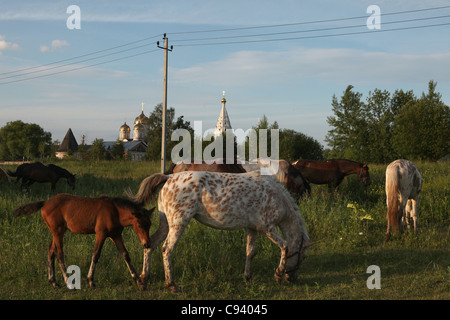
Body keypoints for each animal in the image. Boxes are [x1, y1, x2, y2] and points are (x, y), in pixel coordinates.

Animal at [13, 192, 154, 290]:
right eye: (140, 225)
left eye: (150, 224)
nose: (147, 244)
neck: (115, 212)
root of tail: (45, 202)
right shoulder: (101, 234)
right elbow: (96, 255)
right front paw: (90, 281)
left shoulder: (116, 235)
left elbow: (126, 255)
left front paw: (139, 282)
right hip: (58, 232)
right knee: (59, 253)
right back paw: (68, 282)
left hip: (57, 232)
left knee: (51, 251)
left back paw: (54, 282)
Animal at [125, 171, 312, 294]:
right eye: (302, 257)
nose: (292, 278)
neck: (277, 196)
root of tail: (168, 177)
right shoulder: (268, 228)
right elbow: (285, 247)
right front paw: (278, 274)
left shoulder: (252, 229)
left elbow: (250, 253)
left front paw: (248, 278)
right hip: (178, 224)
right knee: (167, 250)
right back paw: (171, 285)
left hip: (166, 225)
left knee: (150, 246)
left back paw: (143, 280)